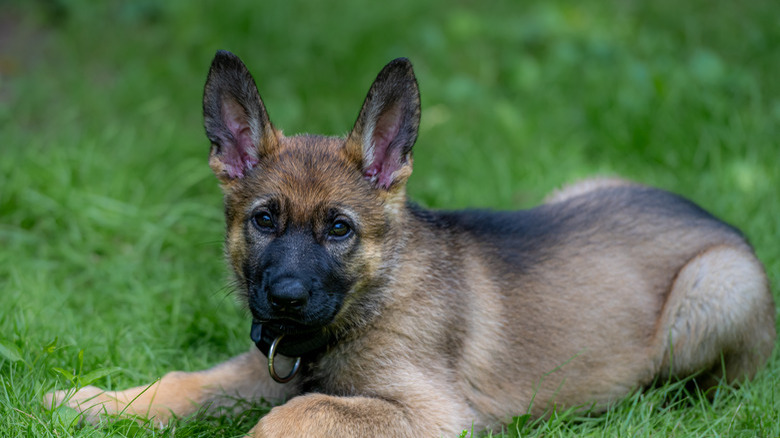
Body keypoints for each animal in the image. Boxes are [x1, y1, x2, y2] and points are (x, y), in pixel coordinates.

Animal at [45, 50, 776, 434]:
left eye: (339, 228)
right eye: (264, 220)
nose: (283, 299)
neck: (372, 300)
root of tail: (721, 225)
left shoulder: (432, 411)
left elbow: (301, 411)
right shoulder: (262, 366)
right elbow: (185, 382)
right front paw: (97, 402)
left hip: (712, 291)